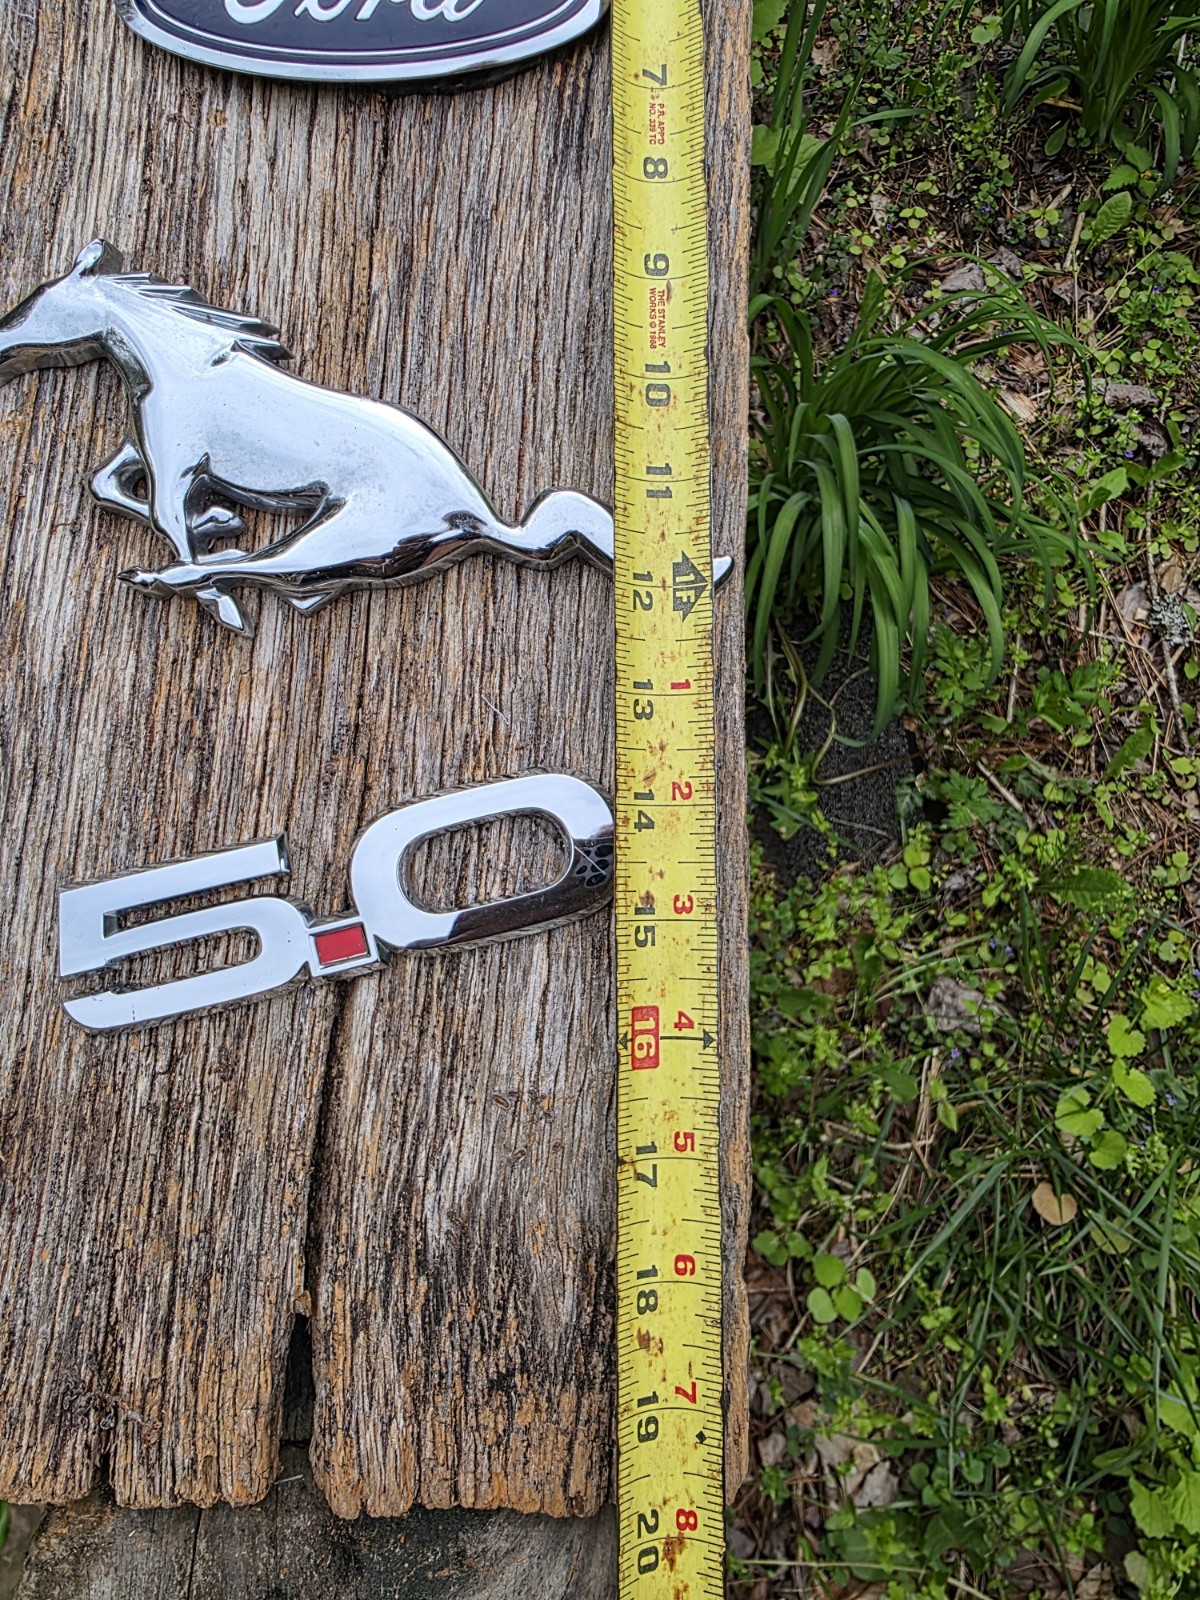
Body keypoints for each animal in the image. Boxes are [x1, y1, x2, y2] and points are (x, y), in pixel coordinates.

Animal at [0, 241, 728, 637]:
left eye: (34, 300)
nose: (3, 347)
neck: (178, 361)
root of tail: (472, 515)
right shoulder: (144, 451)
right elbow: (108, 484)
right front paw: (218, 518)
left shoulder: (177, 465)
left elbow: (164, 519)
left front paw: (218, 580)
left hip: (351, 537)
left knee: (264, 567)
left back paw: (162, 576)